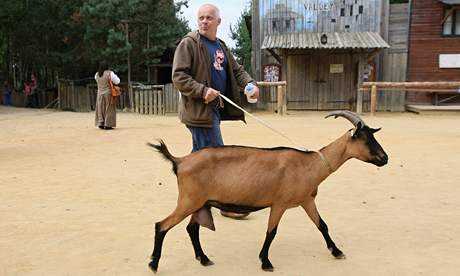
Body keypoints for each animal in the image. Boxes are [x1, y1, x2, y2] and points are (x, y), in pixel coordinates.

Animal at [147, 111, 388, 272]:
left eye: (373, 136)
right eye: (366, 139)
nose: (385, 158)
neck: (310, 164)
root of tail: (180, 161)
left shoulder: (307, 201)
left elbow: (322, 225)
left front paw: (337, 251)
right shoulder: (279, 204)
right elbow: (271, 233)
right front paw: (265, 261)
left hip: (199, 203)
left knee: (191, 229)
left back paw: (204, 259)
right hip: (189, 201)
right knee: (162, 225)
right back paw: (153, 263)